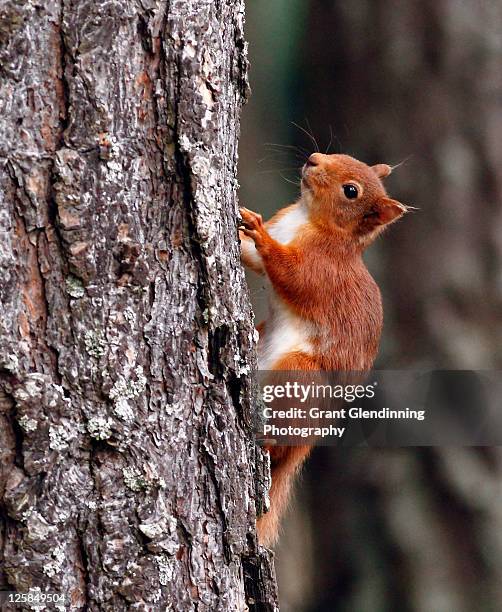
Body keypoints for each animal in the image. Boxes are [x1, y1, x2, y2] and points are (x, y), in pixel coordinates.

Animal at [239, 153, 408, 544]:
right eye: (347, 157)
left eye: (351, 191)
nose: (314, 159)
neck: (307, 218)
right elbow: (250, 257)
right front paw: (241, 219)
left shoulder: (323, 270)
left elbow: (291, 275)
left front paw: (259, 233)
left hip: (299, 376)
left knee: (280, 439)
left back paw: (267, 438)